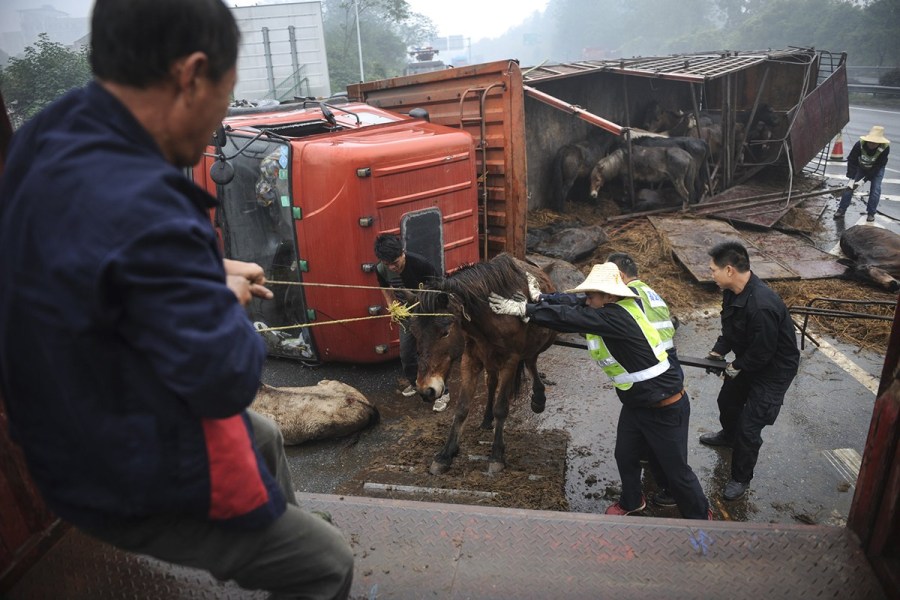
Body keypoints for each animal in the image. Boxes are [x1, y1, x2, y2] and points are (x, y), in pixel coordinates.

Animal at [410, 252, 556, 474]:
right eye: (415, 333)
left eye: (445, 332)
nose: (426, 390)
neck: (494, 317)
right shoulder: (470, 360)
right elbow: (462, 408)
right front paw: (445, 454)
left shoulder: (510, 361)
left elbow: (501, 407)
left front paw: (496, 455)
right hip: (490, 360)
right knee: (491, 383)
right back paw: (487, 419)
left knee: (531, 361)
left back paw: (538, 398)